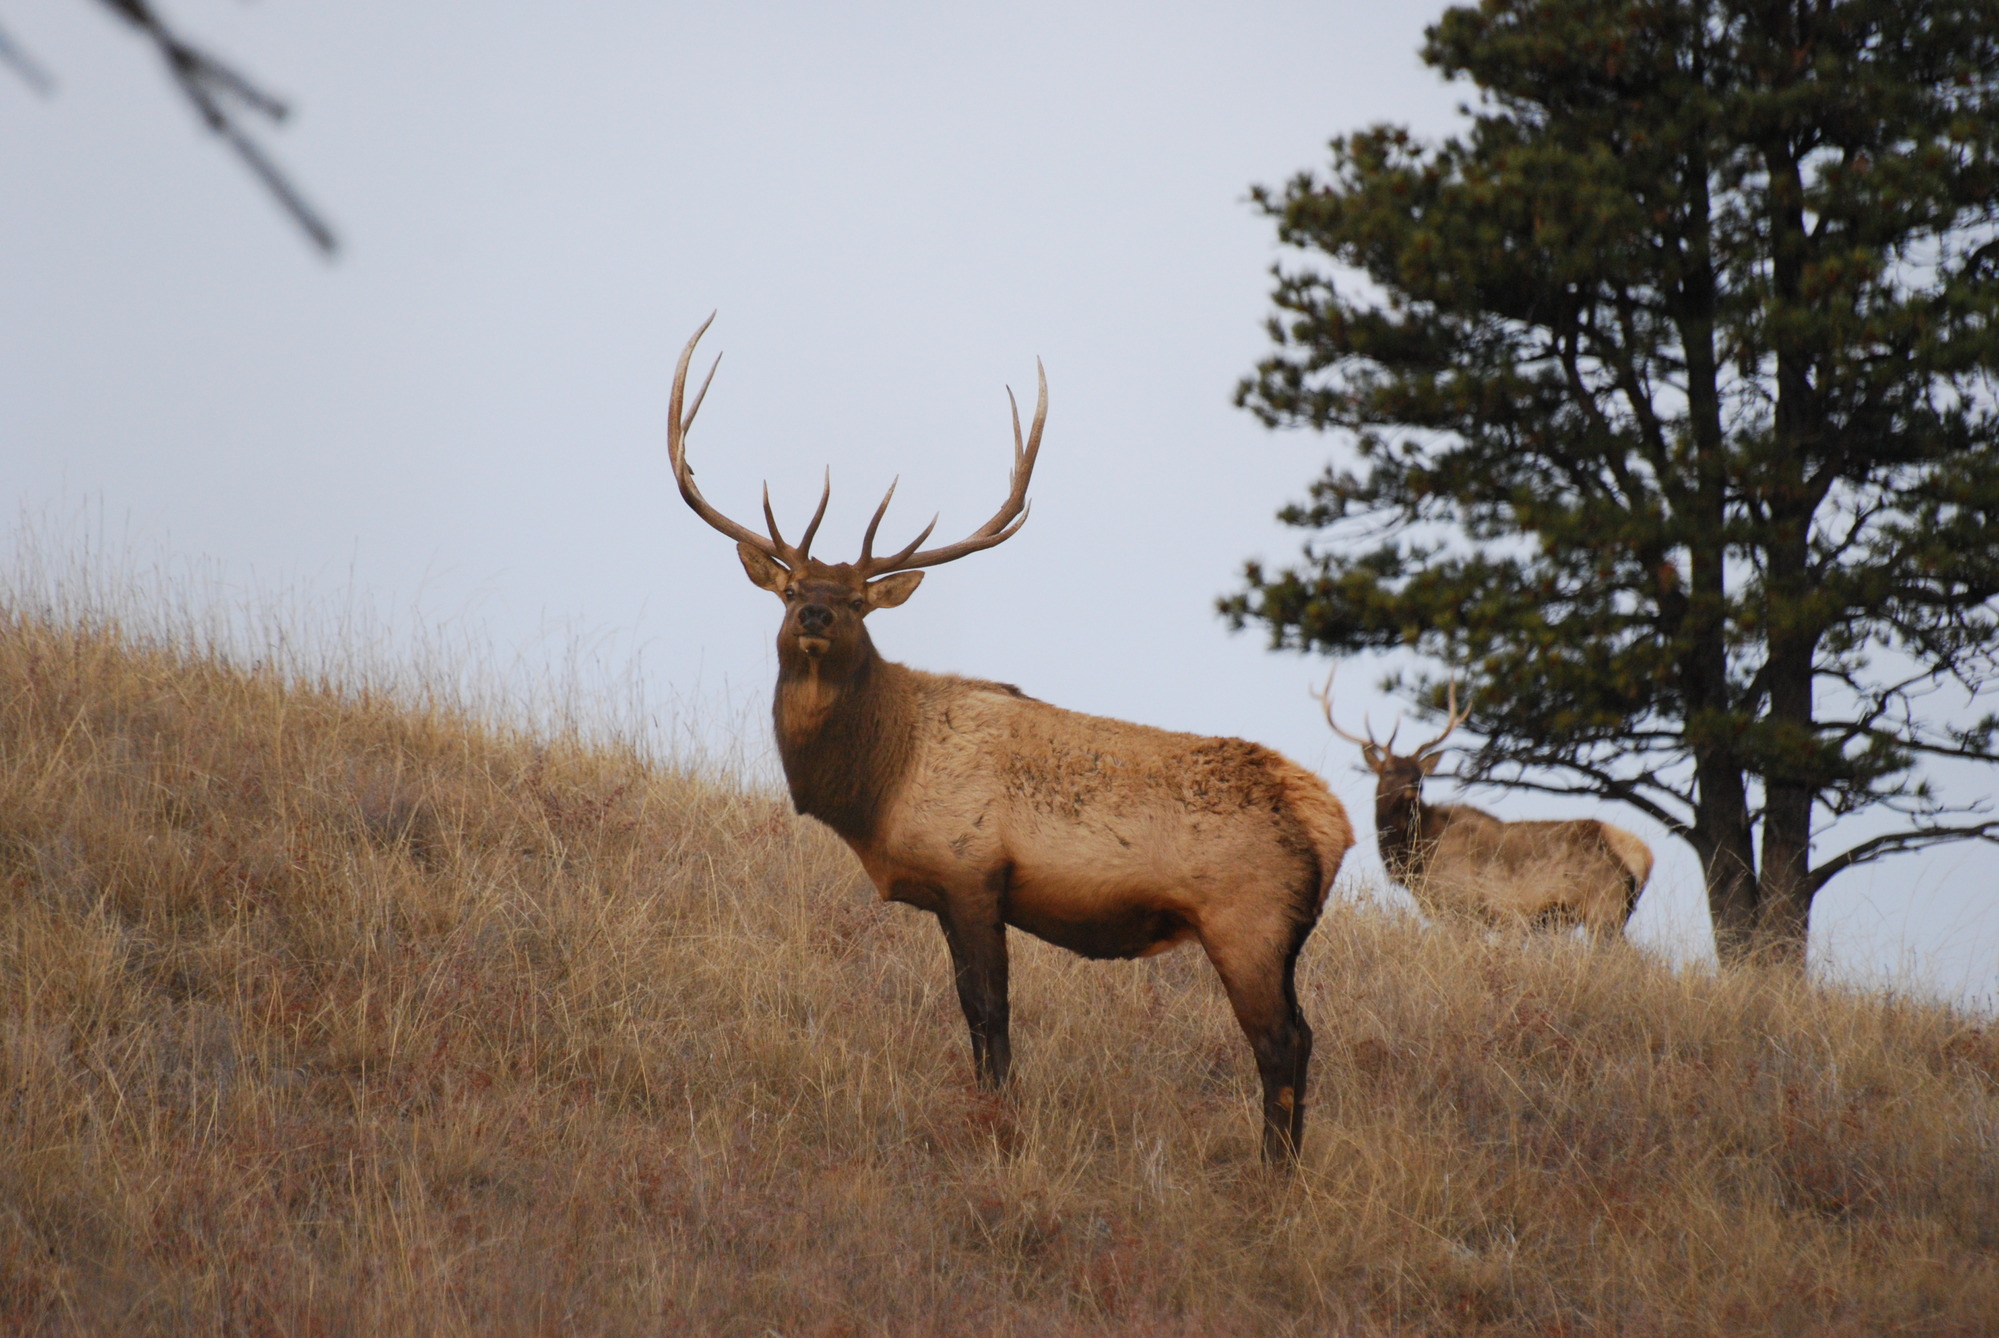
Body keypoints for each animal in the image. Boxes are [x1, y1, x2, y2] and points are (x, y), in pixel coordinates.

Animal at [666, 316, 1354, 1164]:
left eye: (859, 601)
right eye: (792, 588)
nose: (816, 614)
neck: (877, 786)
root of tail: (1333, 825)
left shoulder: (971, 870)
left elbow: (988, 1015)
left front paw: (997, 1122)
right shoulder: (944, 891)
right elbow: (975, 1016)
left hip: (1247, 921)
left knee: (1281, 1042)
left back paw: (1273, 1170)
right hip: (1279, 936)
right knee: (1301, 1036)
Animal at [1315, 669, 1652, 940]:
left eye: (1419, 773)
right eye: (1388, 771)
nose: (1412, 788)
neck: (1416, 854)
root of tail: (1643, 857)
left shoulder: (1459, 905)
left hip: (1604, 908)